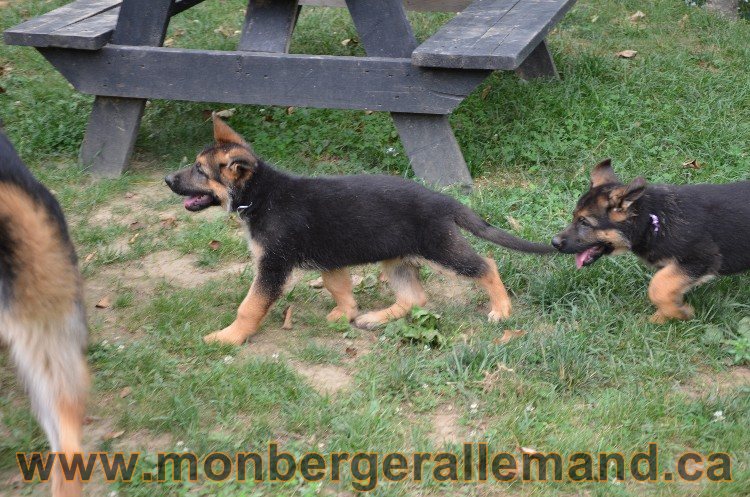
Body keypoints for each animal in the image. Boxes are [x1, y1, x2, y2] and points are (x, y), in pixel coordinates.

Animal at [166, 116, 552, 342]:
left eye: (200, 171)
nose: (167, 179)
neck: (262, 194)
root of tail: (441, 200)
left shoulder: (272, 266)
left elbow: (250, 305)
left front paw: (229, 337)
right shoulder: (330, 258)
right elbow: (338, 287)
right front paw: (346, 314)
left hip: (440, 248)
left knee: (486, 265)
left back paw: (502, 309)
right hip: (396, 258)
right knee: (415, 298)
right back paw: (375, 318)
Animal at [552, 159, 750, 322]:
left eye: (584, 222)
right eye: (574, 217)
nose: (554, 242)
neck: (651, 220)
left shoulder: (702, 258)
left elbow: (657, 286)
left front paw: (679, 312)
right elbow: (665, 286)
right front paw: (664, 316)